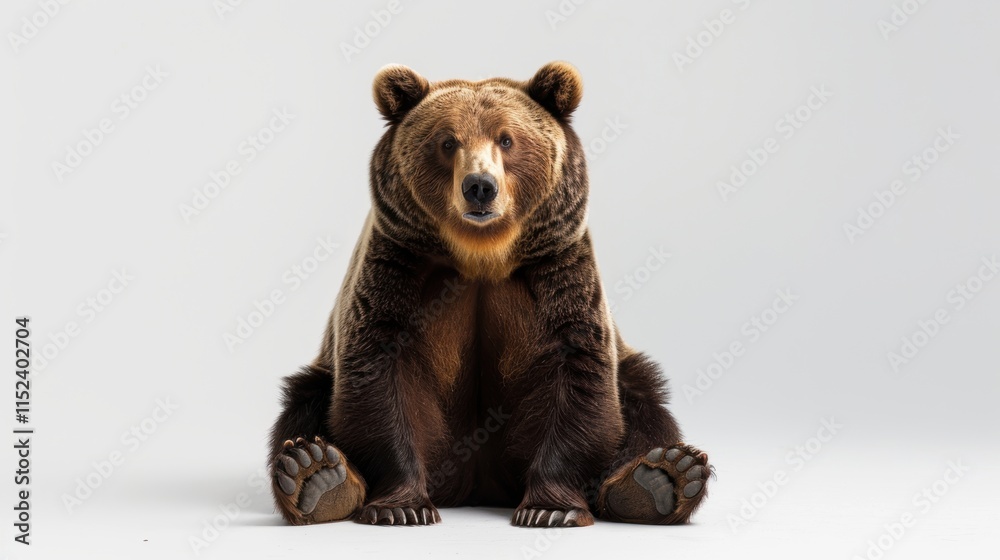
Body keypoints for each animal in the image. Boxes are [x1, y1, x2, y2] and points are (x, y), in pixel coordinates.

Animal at [269, 62, 711, 527]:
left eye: (507, 138)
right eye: (447, 141)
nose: (480, 186)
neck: (482, 254)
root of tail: (476, 485)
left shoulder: (559, 274)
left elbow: (578, 381)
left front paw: (550, 509)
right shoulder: (398, 269)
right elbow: (379, 381)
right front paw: (402, 506)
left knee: (645, 400)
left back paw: (660, 477)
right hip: (321, 376)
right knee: (303, 403)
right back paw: (314, 474)